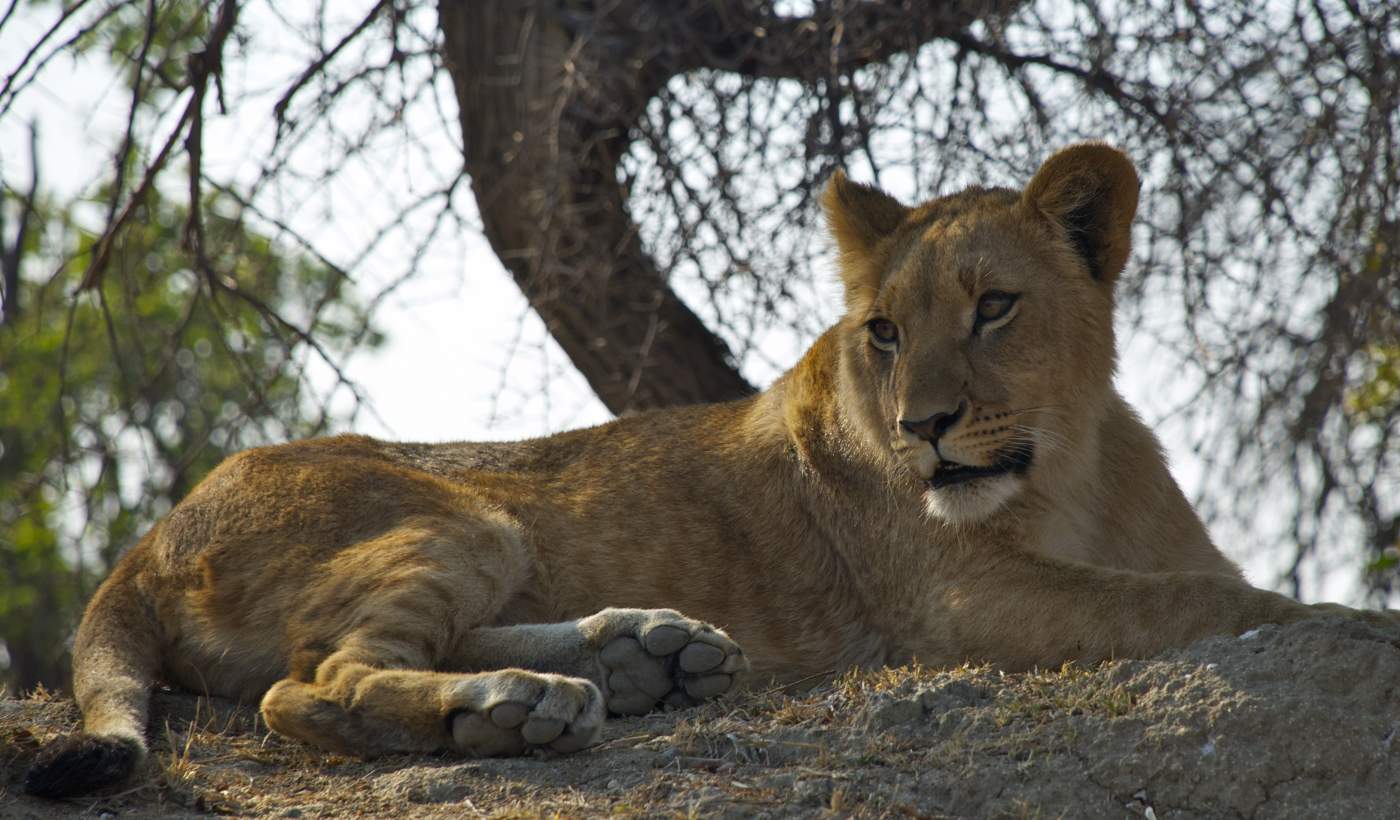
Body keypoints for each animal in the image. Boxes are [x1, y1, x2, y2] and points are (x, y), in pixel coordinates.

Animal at [21, 140, 1388, 789]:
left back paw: (636, 657)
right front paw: (1350, 618)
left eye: (993, 307)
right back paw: (522, 707)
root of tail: (147, 536)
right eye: (882, 332)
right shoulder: (956, 602)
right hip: (458, 512)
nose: (923, 426)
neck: (1072, 468)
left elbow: (1198, 583)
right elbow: (1199, 601)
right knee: (312, 684)